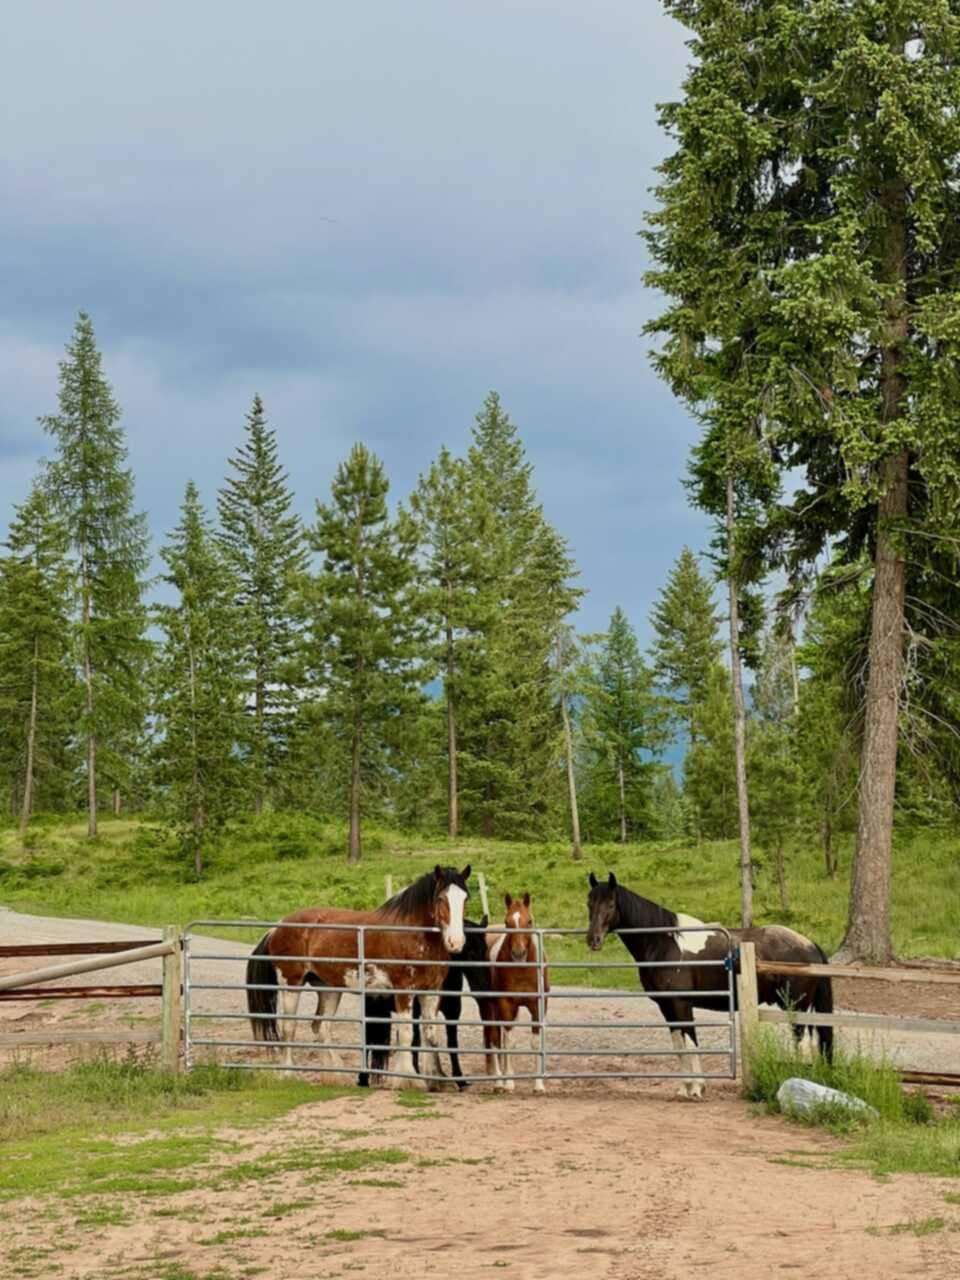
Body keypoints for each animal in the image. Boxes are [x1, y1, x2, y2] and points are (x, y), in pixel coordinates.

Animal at [248, 865, 473, 1085]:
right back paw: (288, 1073)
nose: (456, 942)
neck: (413, 934)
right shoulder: (403, 991)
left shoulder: (431, 991)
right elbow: (406, 1034)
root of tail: (276, 928)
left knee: (322, 1027)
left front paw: (435, 1079)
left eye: (465, 898)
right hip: (291, 984)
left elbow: (431, 1035)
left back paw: (334, 1075)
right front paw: (408, 1080)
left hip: (329, 988)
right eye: (441, 898)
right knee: (289, 1026)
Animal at [586, 870, 834, 1100]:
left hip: (795, 1006)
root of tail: (809, 944)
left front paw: (697, 1088)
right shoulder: (667, 1007)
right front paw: (684, 1088)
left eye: (610, 904)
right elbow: (679, 1046)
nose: (593, 940)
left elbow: (690, 1043)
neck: (665, 943)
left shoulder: (681, 1004)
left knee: (802, 1044)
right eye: (589, 903)